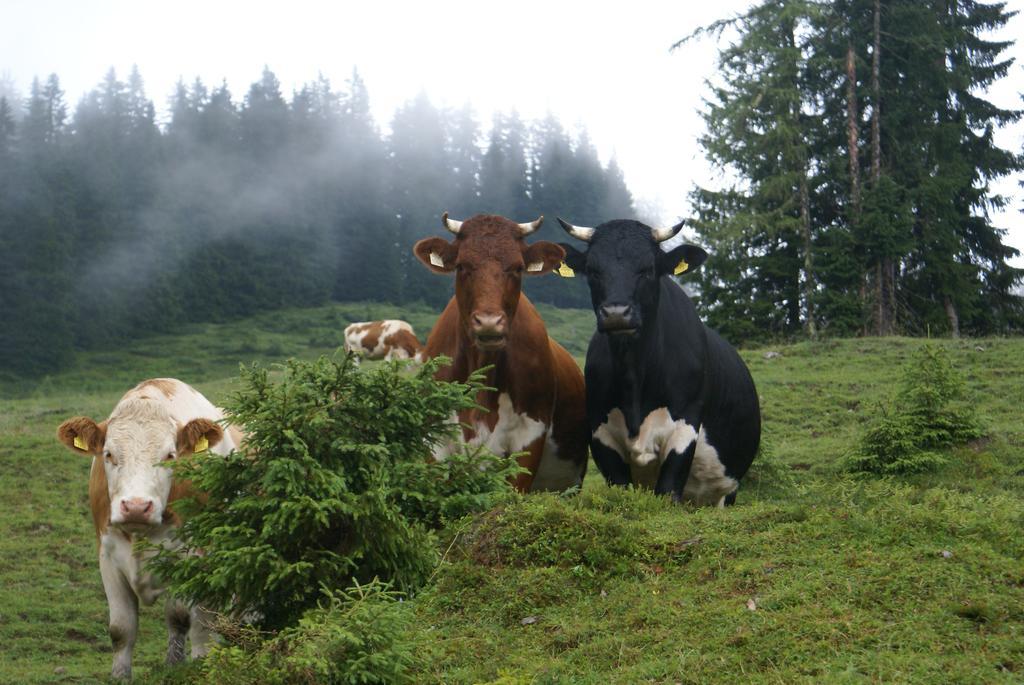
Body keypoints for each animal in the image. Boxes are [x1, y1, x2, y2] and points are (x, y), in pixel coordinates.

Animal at [57, 376, 243, 679]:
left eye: (170, 455)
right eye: (109, 454)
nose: (135, 506)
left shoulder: (189, 556)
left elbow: (179, 617)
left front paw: (175, 666)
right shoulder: (107, 557)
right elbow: (121, 628)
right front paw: (119, 676)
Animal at [552, 216, 761, 505]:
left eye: (648, 269)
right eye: (593, 270)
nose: (616, 313)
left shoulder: (685, 425)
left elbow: (668, 491)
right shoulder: (600, 432)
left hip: (727, 490)